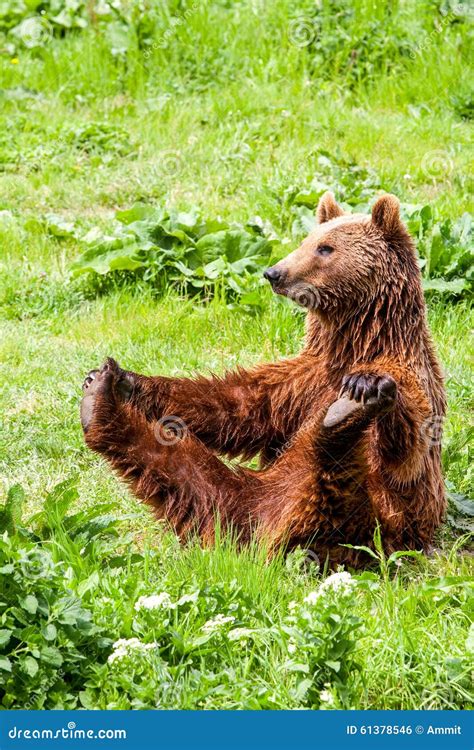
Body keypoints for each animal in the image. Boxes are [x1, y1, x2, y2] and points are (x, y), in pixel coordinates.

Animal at [79, 191, 446, 568]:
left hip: (366, 525)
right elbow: (238, 406)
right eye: (306, 241)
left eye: (325, 248)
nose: (274, 273)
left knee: (339, 483)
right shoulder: (301, 385)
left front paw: (366, 386)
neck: (353, 344)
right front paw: (124, 378)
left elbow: (405, 450)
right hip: (241, 502)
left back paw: (342, 415)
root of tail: (272, 535)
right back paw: (98, 400)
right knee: (181, 472)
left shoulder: (413, 378)